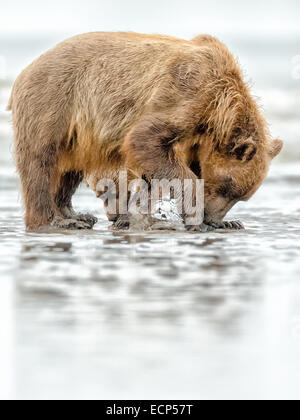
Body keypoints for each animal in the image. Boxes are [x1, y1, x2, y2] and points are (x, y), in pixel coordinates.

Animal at [8, 31, 282, 231]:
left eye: (242, 196)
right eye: (227, 186)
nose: (214, 217)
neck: (218, 110)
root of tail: (23, 71)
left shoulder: (196, 135)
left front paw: (228, 222)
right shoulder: (184, 94)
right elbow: (145, 139)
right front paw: (197, 217)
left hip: (76, 135)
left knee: (69, 171)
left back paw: (77, 214)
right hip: (52, 103)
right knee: (40, 165)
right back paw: (57, 220)